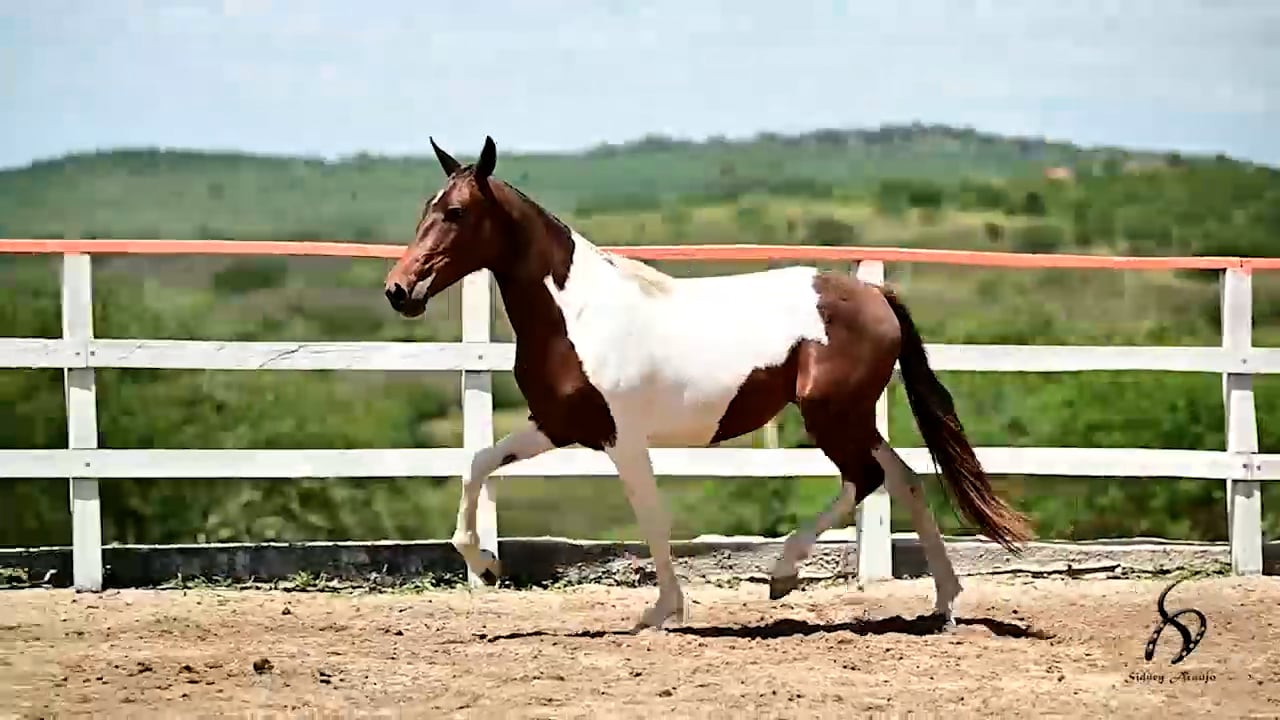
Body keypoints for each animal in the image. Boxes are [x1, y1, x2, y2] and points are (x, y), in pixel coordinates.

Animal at [378, 134, 1029, 627]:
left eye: (456, 212)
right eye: (425, 207)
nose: (398, 290)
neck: (578, 313)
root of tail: (876, 295)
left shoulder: (621, 439)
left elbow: (652, 518)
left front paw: (663, 611)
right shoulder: (557, 426)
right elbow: (478, 463)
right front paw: (486, 564)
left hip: (830, 414)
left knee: (867, 478)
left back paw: (783, 575)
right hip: (850, 417)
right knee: (904, 478)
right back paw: (944, 603)